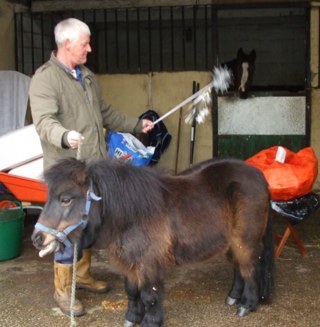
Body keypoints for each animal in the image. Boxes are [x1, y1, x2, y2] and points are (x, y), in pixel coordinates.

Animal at [31, 158, 272, 326]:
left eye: (65, 199)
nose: (37, 238)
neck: (133, 213)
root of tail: (259, 176)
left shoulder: (149, 264)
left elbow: (150, 297)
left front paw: (150, 322)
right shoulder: (129, 264)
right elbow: (132, 291)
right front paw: (132, 318)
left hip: (245, 241)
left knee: (251, 269)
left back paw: (247, 305)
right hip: (232, 243)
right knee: (239, 269)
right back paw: (233, 297)